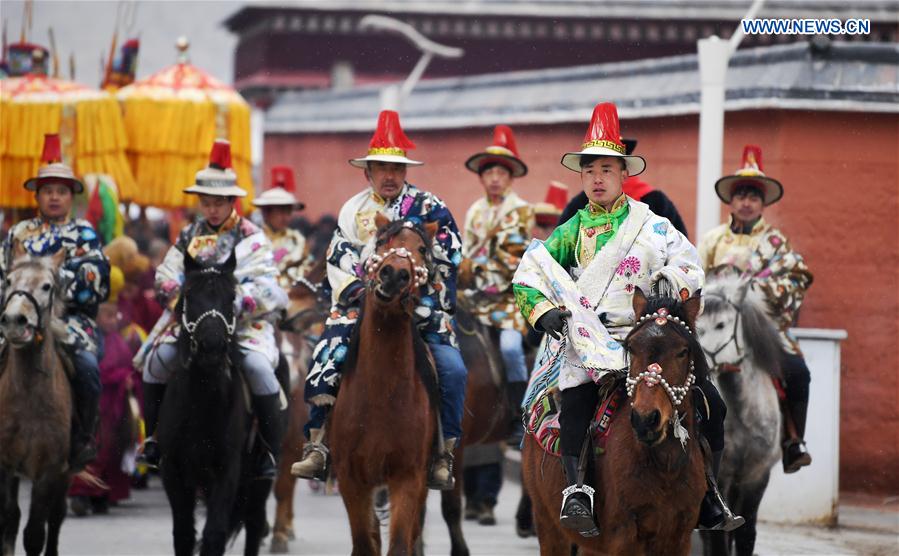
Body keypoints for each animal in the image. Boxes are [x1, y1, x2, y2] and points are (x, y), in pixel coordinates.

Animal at [332, 215, 442, 552]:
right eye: (381, 242)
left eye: (422, 249)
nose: (393, 274)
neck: (380, 395)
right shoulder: (351, 479)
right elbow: (364, 545)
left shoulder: (408, 476)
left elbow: (400, 544)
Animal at [524, 292, 708, 556]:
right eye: (632, 348)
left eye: (683, 351)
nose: (646, 419)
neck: (665, 467)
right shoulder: (623, 537)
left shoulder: (679, 537)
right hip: (547, 524)